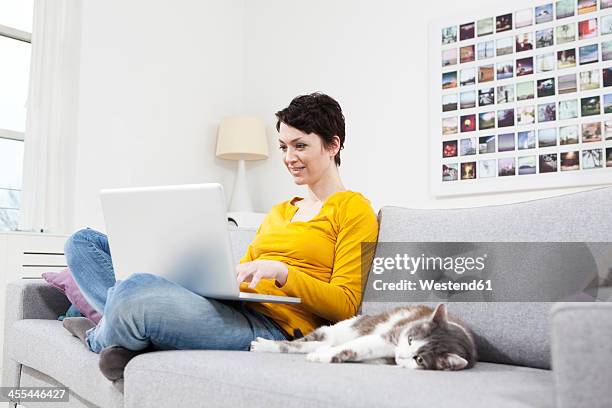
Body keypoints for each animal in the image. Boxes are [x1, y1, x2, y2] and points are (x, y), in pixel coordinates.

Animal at [250, 302, 478, 370]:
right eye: (410, 339)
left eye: (419, 359)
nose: (401, 354)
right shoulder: (389, 336)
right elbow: (361, 345)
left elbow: (353, 351)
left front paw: (329, 356)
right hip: (336, 329)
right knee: (296, 343)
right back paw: (263, 344)